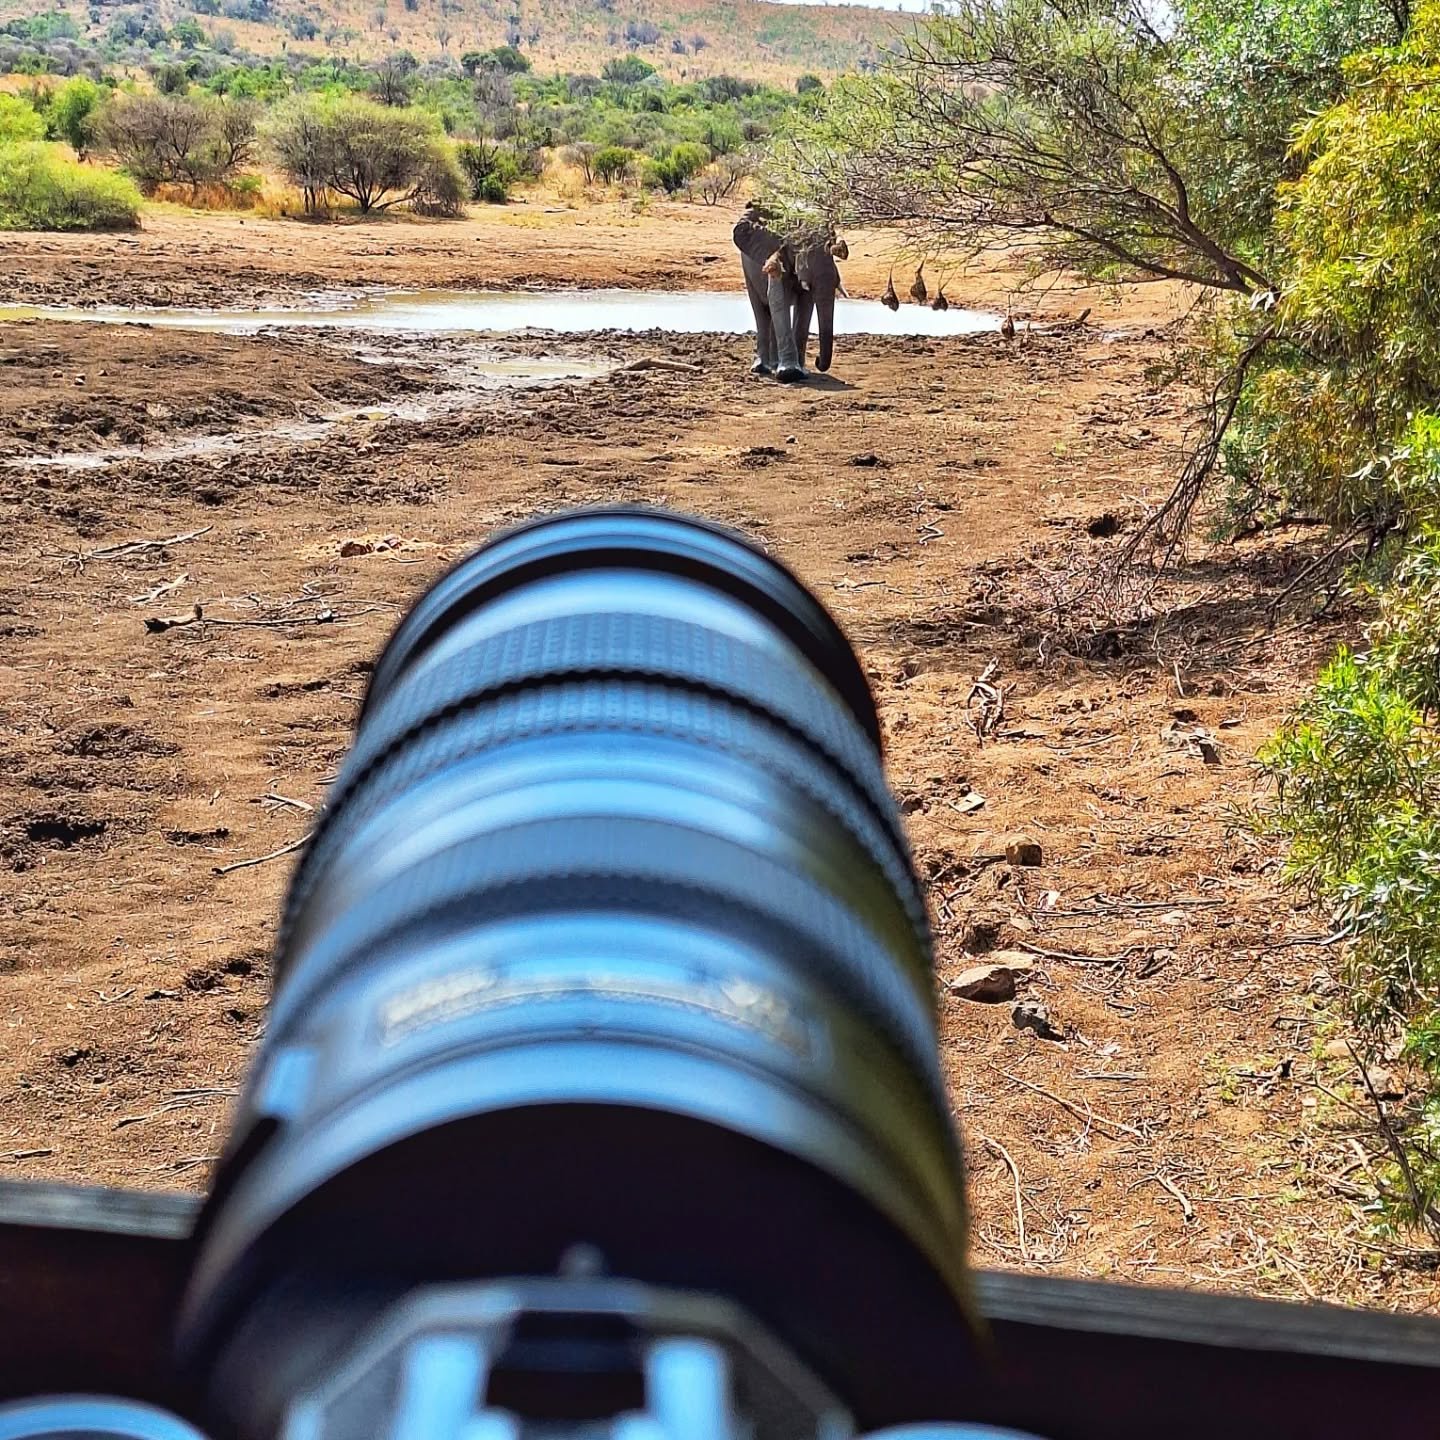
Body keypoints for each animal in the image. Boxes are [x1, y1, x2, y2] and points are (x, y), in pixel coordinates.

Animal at [733, 208, 847, 383]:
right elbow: (778, 297)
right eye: (798, 245)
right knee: (761, 311)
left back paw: (774, 366)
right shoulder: (775, 252)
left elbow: (806, 304)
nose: (817, 360)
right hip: (747, 270)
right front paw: (790, 373)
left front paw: (801, 372)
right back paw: (761, 368)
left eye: (832, 243)